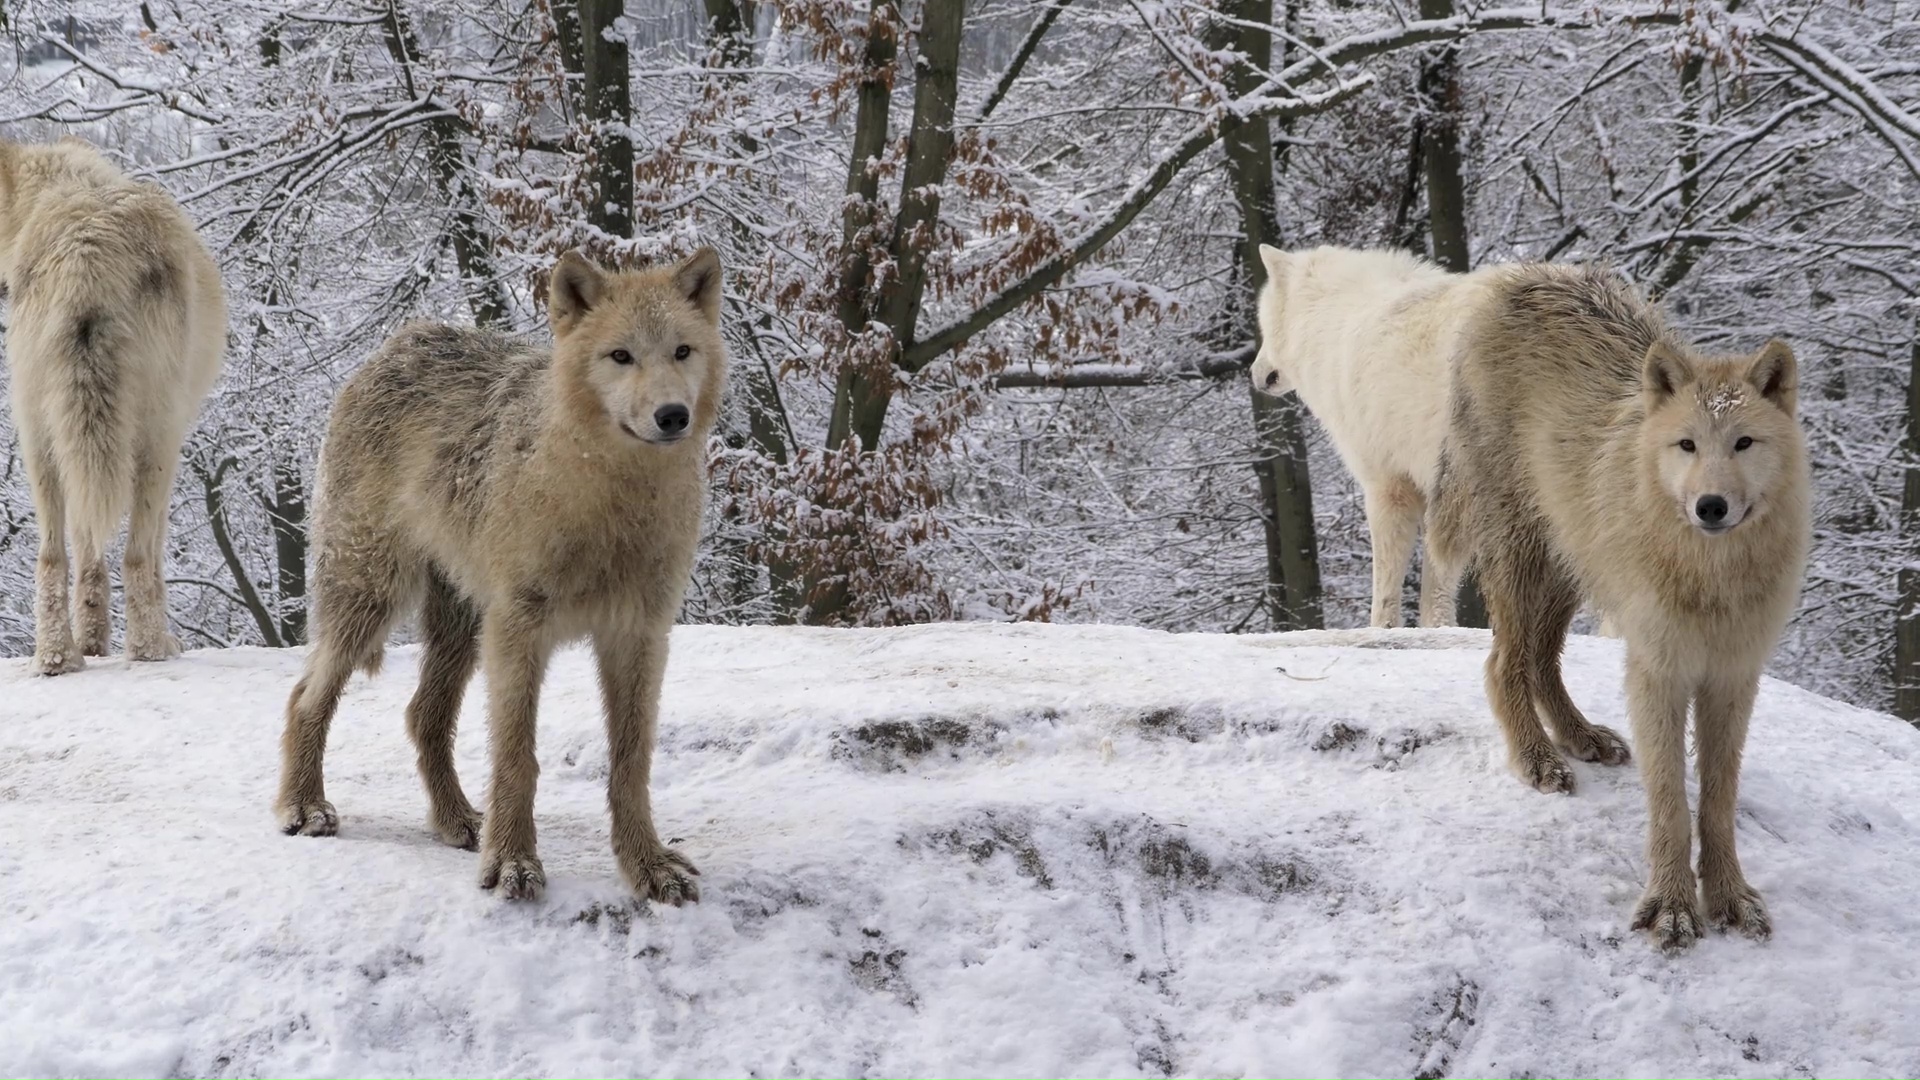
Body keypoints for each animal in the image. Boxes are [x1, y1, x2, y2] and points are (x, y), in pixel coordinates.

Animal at [0, 136, 226, 673]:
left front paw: (91, 644)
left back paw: (58, 658)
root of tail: (86, 243)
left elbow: (87, 553)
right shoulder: (175, 441)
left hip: (41, 441)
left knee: (50, 557)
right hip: (154, 439)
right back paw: (150, 649)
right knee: (138, 554)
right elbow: (146, 551)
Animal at [274, 247, 727, 905]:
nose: (673, 416)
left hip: (461, 625)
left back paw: (457, 820)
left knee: (422, 715)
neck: (611, 501)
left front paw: (647, 865)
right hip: (374, 599)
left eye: (682, 351)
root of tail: (401, 341)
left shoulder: (640, 636)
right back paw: (304, 807)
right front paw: (513, 863)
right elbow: (518, 757)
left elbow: (630, 760)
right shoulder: (518, 628)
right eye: (620, 356)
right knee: (306, 696)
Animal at [1249, 244, 1494, 628]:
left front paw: (1387, 629)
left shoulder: (1387, 485)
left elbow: (1390, 582)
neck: (1333, 325)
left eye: (1262, 326)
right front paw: (1438, 627)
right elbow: (1436, 583)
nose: (1254, 374)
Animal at [1429, 263, 1809, 952]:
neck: (1709, 576)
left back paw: (1581, 737)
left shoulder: (1733, 678)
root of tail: (1516, 276)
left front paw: (1730, 898)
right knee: (1502, 665)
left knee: (1542, 661)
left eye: (1744, 443)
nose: (1711, 506)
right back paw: (1539, 760)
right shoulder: (1656, 672)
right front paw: (1672, 908)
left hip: (1568, 567)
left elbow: (1717, 802)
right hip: (1524, 558)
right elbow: (1671, 802)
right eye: (1687, 445)